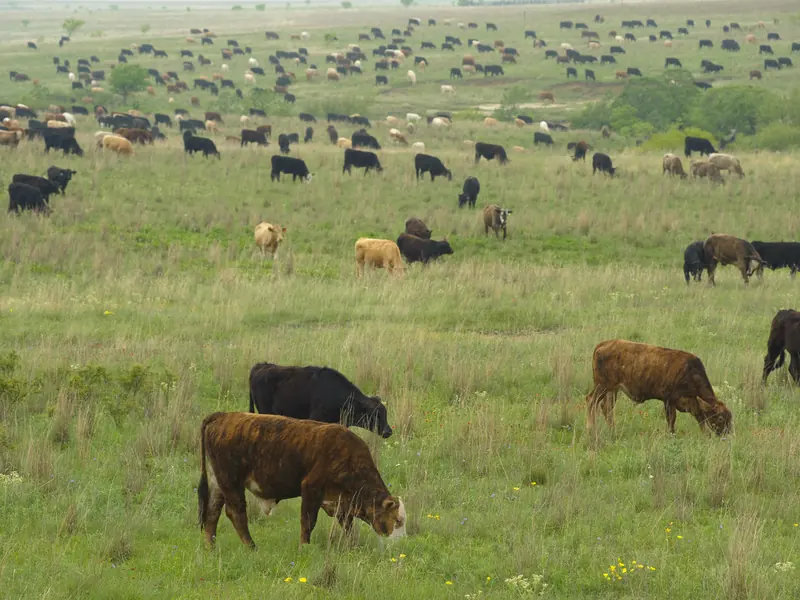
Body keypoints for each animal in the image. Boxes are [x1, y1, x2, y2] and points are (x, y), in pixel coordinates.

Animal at [197, 412, 404, 549]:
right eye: (398, 520)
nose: (400, 543)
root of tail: (222, 416)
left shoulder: (340, 502)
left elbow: (348, 525)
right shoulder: (311, 488)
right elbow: (308, 521)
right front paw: (304, 546)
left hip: (218, 482)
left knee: (212, 512)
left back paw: (210, 547)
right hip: (231, 481)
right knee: (236, 513)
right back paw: (251, 547)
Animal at [585, 340, 732, 435]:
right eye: (720, 418)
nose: (727, 432)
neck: (690, 372)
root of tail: (604, 344)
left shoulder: (692, 403)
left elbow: (700, 419)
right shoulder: (669, 401)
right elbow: (671, 420)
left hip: (612, 390)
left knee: (606, 407)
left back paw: (613, 430)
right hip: (602, 386)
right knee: (591, 400)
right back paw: (591, 428)